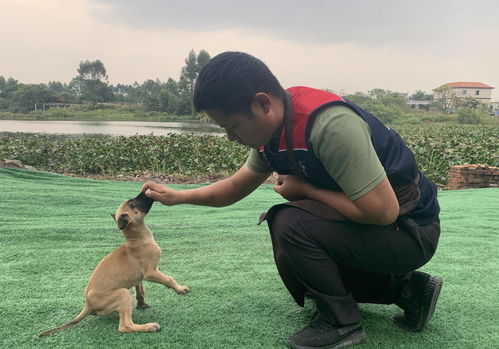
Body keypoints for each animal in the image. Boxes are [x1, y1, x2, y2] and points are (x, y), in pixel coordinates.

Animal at [40, 192, 189, 336]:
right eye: (132, 202)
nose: (146, 191)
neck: (137, 239)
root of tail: (88, 305)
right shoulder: (150, 272)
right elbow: (168, 279)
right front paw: (180, 289)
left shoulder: (139, 277)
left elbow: (140, 290)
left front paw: (141, 303)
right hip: (123, 293)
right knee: (125, 326)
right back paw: (149, 327)